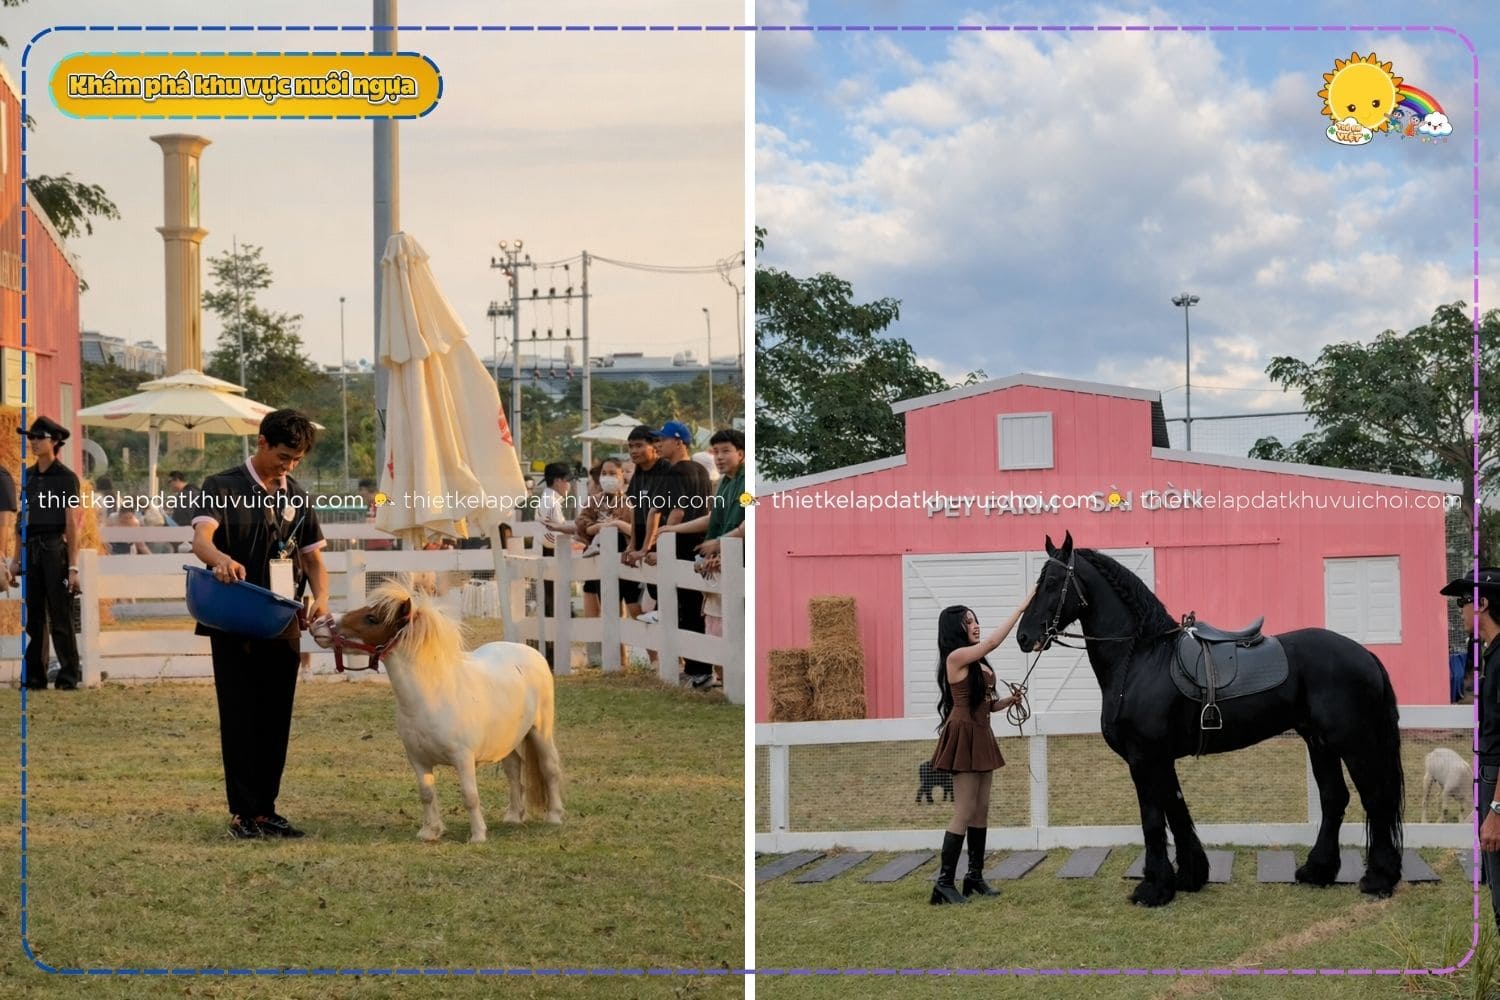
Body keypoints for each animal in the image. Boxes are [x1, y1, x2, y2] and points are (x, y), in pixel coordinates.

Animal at [317, 577, 564, 842]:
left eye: (372, 618)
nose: (318, 623)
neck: (431, 698)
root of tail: (531, 652)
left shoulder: (463, 759)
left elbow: (470, 796)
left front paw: (478, 836)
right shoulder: (418, 760)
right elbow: (426, 794)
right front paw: (430, 832)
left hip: (540, 732)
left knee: (549, 768)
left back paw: (554, 816)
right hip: (507, 739)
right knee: (513, 769)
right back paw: (513, 816)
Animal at [1014, 532, 1403, 907]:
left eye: (1052, 582)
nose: (1023, 636)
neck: (1142, 659)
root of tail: (1364, 654)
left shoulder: (1144, 758)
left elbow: (1153, 819)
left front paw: (1154, 889)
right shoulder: (1161, 759)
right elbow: (1176, 809)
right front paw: (1190, 876)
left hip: (1353, 741)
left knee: (1375, 797)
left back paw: (1379, 879)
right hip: (1319, 742)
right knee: (1334, 798)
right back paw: (1317, 871)